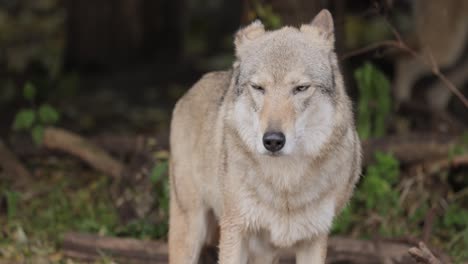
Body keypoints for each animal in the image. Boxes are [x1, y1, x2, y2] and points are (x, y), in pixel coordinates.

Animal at [168, 9, 362, 262]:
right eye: (258, 87)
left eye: (300, 88)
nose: (272, 141)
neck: (285, 183)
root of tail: (192, 88)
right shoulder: (235, 231)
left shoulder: (315, 237)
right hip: (191, 230)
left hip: (265, 252)